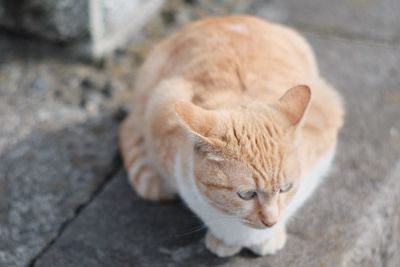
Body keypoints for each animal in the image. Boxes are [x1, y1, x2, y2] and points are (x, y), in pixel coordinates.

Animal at [119, 14, 344, 258]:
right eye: (246, 194)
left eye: (285, 188)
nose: (270, 222)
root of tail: (220, 17)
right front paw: (226, 239)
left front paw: (269, 236)